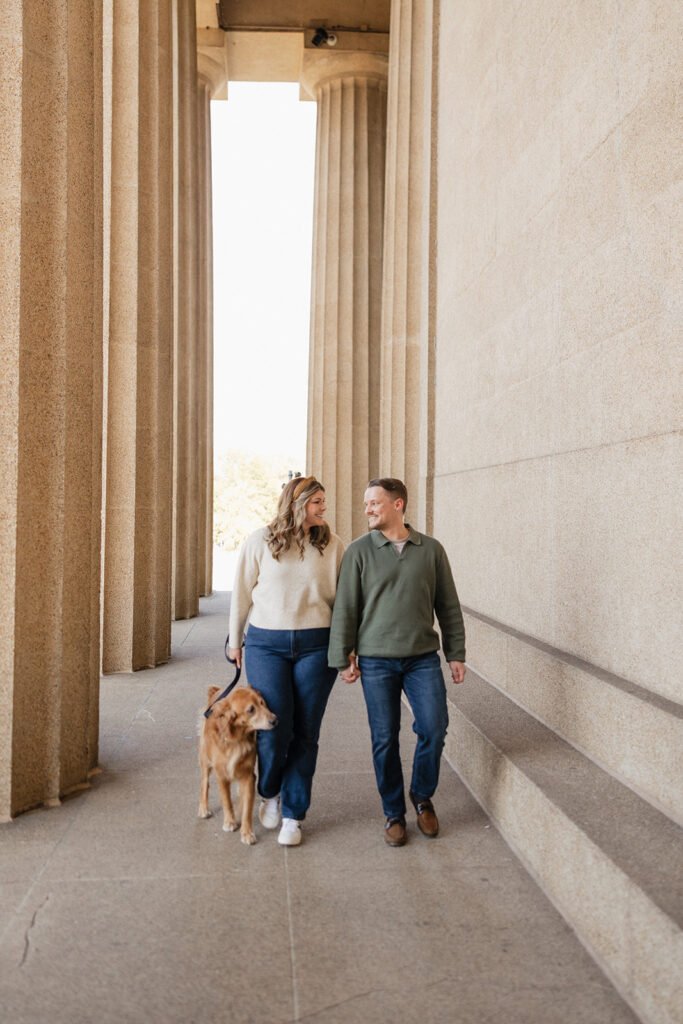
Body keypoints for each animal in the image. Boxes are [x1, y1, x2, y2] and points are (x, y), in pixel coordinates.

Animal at [197, 684, 278, 843]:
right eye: (251, 709)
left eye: (262, 703)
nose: (274, 720)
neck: (237, 740)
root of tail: (217, 690)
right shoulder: (221, 775)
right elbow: (226, 801)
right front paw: (229, 822)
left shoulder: (249, 775)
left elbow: (247, 807)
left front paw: (247, 832)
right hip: (205, 758)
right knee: (204, 782)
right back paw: (203, 807)